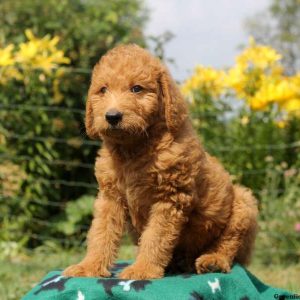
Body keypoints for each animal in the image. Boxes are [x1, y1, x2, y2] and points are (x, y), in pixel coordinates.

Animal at [63, 44, 258, 278]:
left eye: (137, 89)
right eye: (103, 90)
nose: (112, 116)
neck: (133, 151)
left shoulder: (170, 197)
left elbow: (155, 237)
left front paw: (142, 270)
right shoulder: (110, 197)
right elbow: (101, 234)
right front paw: (89, 266)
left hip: (244, 204)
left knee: (230, 242)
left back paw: (213, 260)